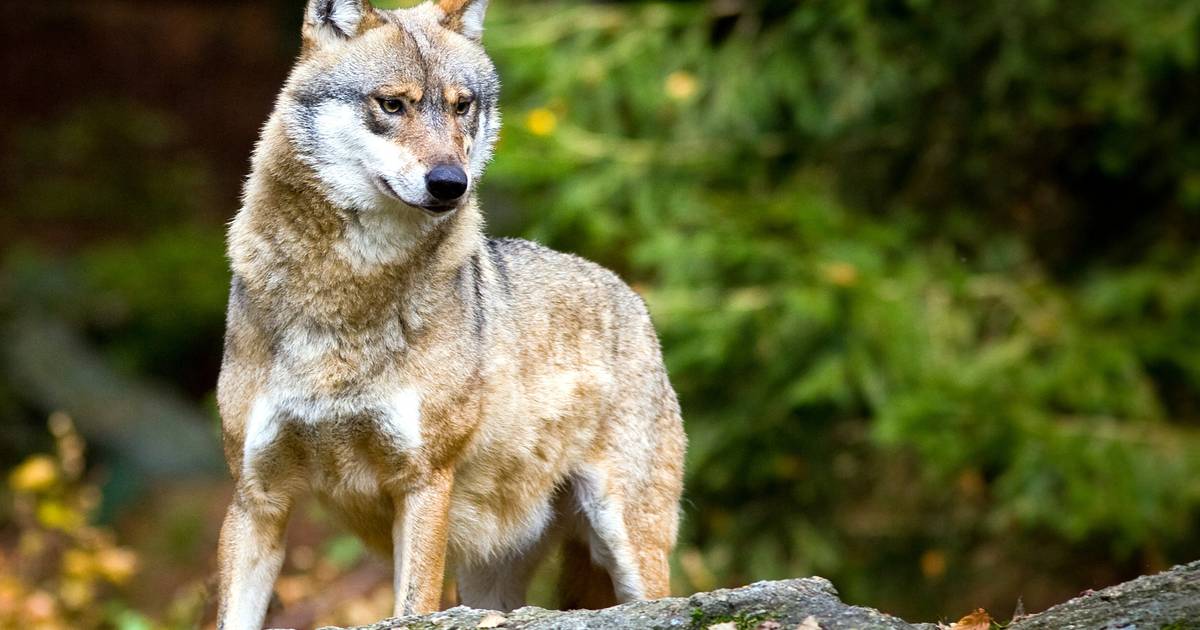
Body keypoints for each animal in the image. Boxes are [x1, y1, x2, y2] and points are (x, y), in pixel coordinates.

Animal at [214, 0, 686, 627]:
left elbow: (412, 604)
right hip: (490, 582)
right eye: (393, 104)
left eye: (463, 106)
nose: (449, 183)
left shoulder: (424, 482)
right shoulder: (255, 498)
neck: (346, 293)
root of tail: (631, 297)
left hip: (628, 547)